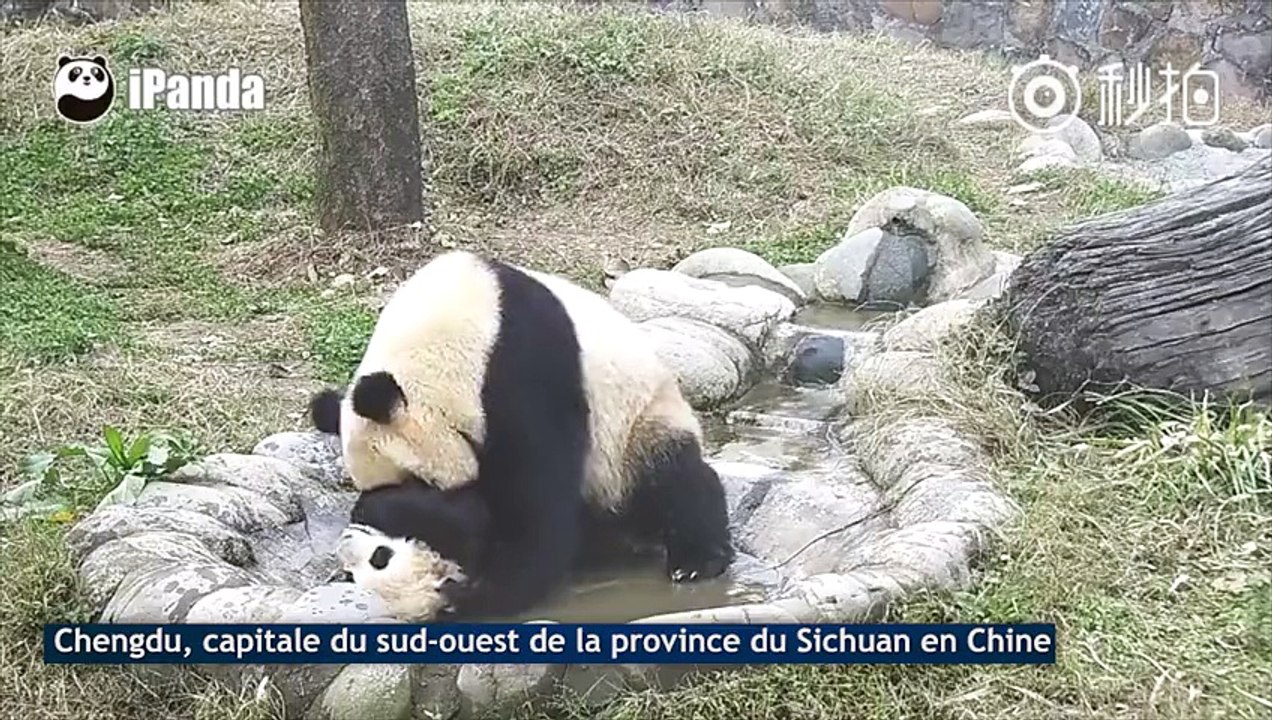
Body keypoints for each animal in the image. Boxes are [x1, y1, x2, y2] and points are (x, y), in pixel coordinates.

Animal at [309, 250, 734, 621]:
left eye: (415, 480)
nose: (363, 515)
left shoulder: (525, 370)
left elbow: (536, 500)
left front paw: (489, 592)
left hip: (635, 429)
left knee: (672, 477)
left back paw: (695, 559)